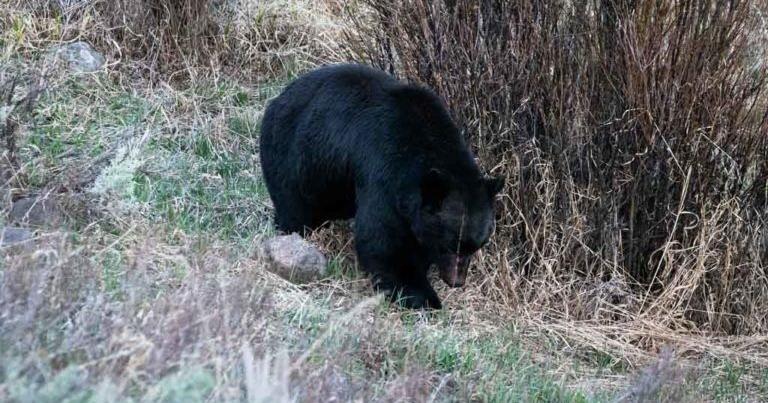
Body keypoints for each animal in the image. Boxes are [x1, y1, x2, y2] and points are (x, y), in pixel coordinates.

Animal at [259, 64, 503, 309]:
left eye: (477, 244)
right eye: (449, 244)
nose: (456, 281)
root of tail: (280, 97)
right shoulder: (384, 171)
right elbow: (383, 239)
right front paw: (422, 296)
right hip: (294, 157)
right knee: (294, 205)